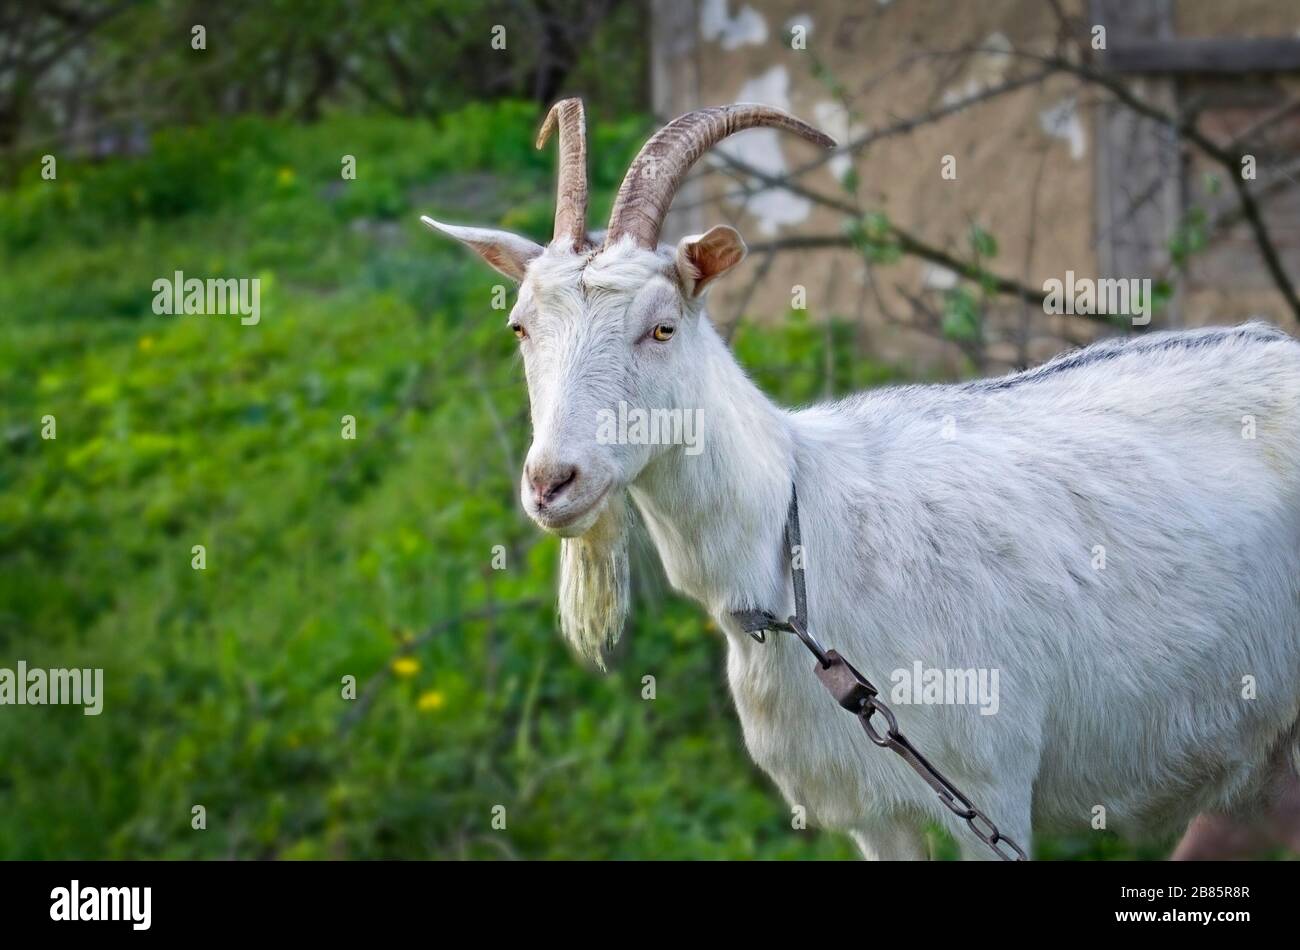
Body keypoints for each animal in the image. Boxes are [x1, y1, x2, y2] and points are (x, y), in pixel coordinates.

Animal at [424, 99, 1300, 859]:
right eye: (520, 327)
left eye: (661, 327)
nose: (552, 482)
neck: (795, 542)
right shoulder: (871, 809)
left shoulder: (988, 784)